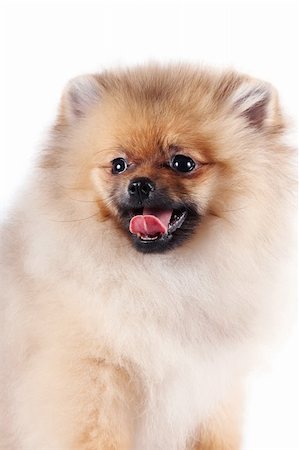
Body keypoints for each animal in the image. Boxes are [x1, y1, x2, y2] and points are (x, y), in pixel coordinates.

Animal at [0, 64, 296, 450]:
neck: (161, 277)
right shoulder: (91, 379)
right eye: (119, 164)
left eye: (183, 163)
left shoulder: (212, 384)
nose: (139, 184)